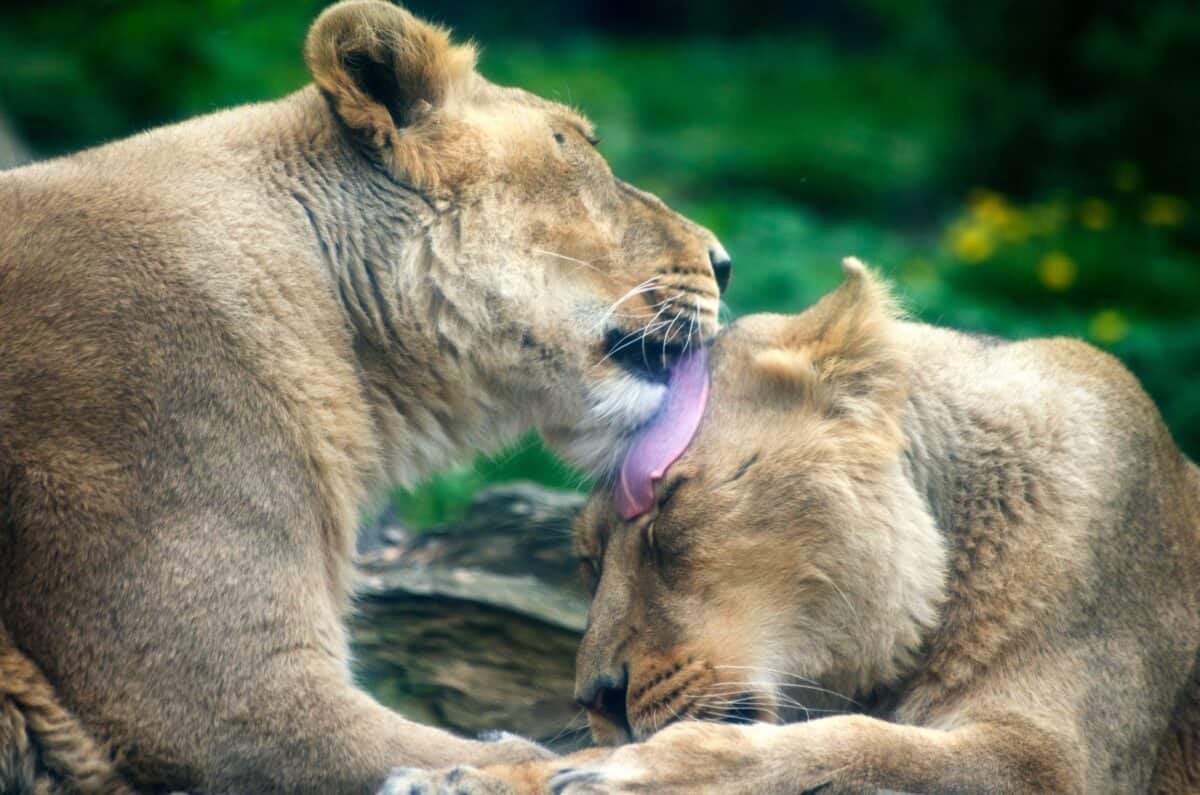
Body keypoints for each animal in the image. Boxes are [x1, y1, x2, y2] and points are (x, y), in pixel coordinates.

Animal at [400, 259, 1200, 794]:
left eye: (668, 516)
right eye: (589, 560)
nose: (596, 699)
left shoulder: (1056, 763)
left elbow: (858, 745)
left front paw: (629, 769)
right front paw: (485, 772)